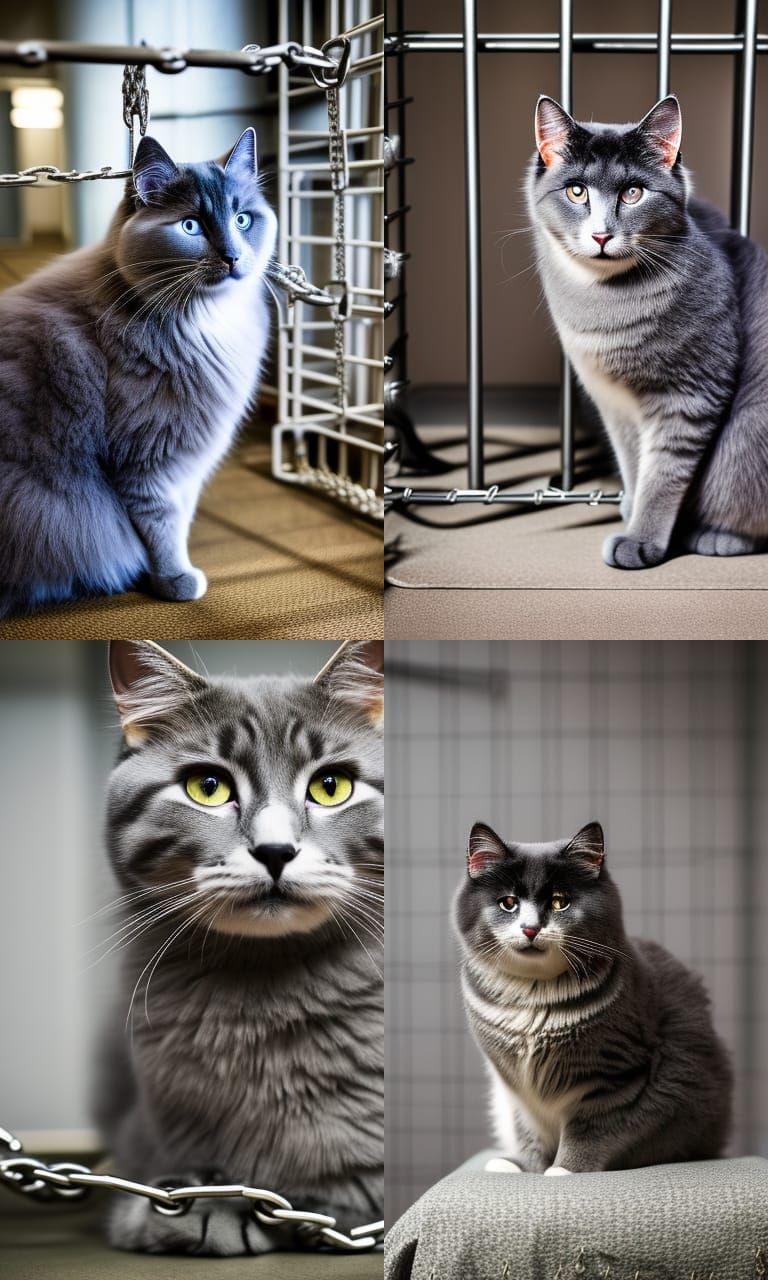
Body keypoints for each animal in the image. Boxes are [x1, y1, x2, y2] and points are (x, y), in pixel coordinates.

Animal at [0, 127, 276, 616]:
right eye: (190, 226)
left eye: (243, 220)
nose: (232, 256)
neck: (204, 326)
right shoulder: (151, 458)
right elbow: (163, 525)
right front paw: (175, 580)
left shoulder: (184, 462)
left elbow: (176, 520)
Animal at [453, 824, 737, 1172]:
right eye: (508, 903)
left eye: (559, 902)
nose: (530, 929)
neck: (534, 993)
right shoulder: (518, 1090)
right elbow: (529, 1131)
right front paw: (527, 1169)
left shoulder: (614, 1079)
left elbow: (589, 1131)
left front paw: (562, 1170)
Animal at [524, 99, 768, 576]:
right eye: (576, 192)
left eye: (633, 193)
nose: (601, 234)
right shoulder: (613, 404)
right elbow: (635, 464)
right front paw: (631, 506)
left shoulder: (688, 395)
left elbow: (663, 475)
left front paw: (640, 540)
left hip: (746, 438)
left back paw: (716, 537)